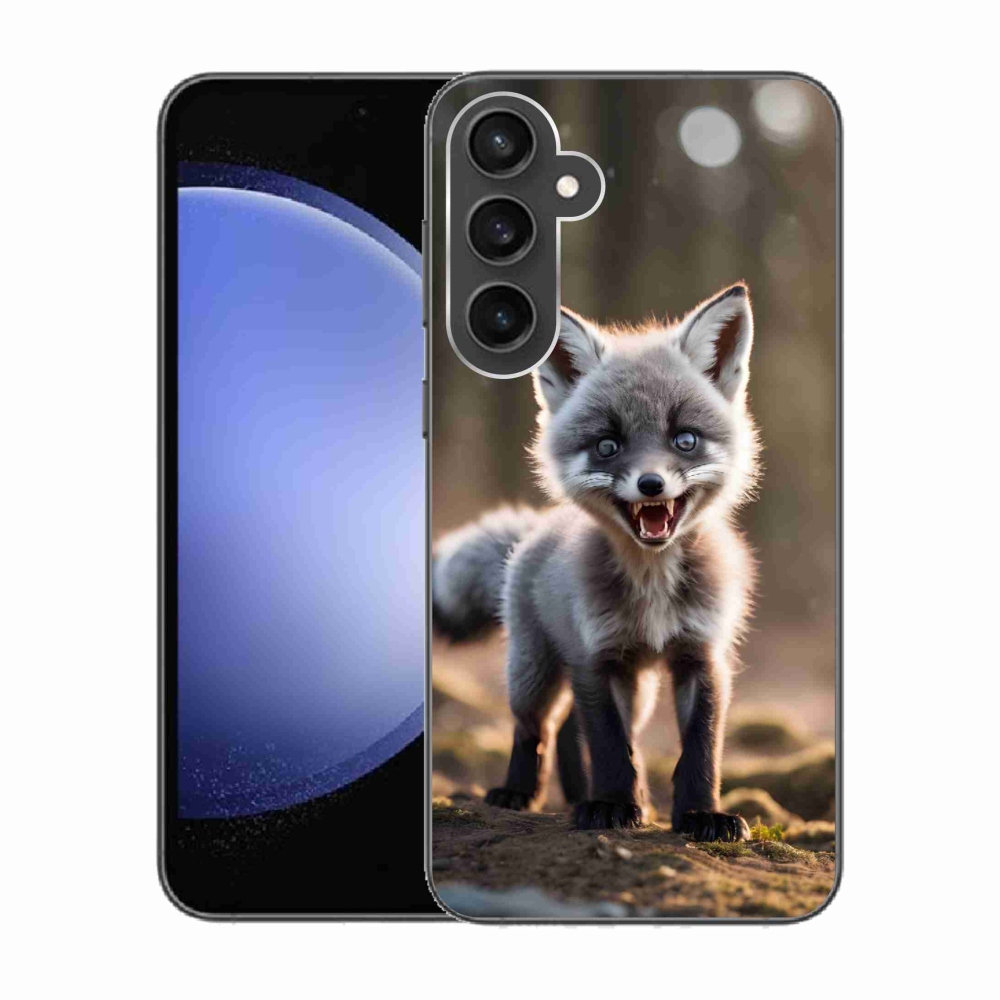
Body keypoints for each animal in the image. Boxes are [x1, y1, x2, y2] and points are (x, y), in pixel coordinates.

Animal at [433, 283, 760, 840]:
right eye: (608, 445)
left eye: (685, 439)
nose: (651, 484)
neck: (652, 588)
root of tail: (535, 530)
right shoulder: (596, 657)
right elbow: (609, 746)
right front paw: (610, 805)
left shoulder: (702, 655)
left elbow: (700, 750)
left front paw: (700, 815)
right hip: (534, 672)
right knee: (535, 727)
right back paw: (520, 792)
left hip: (637, 685)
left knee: (572, 728)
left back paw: (585, 793)